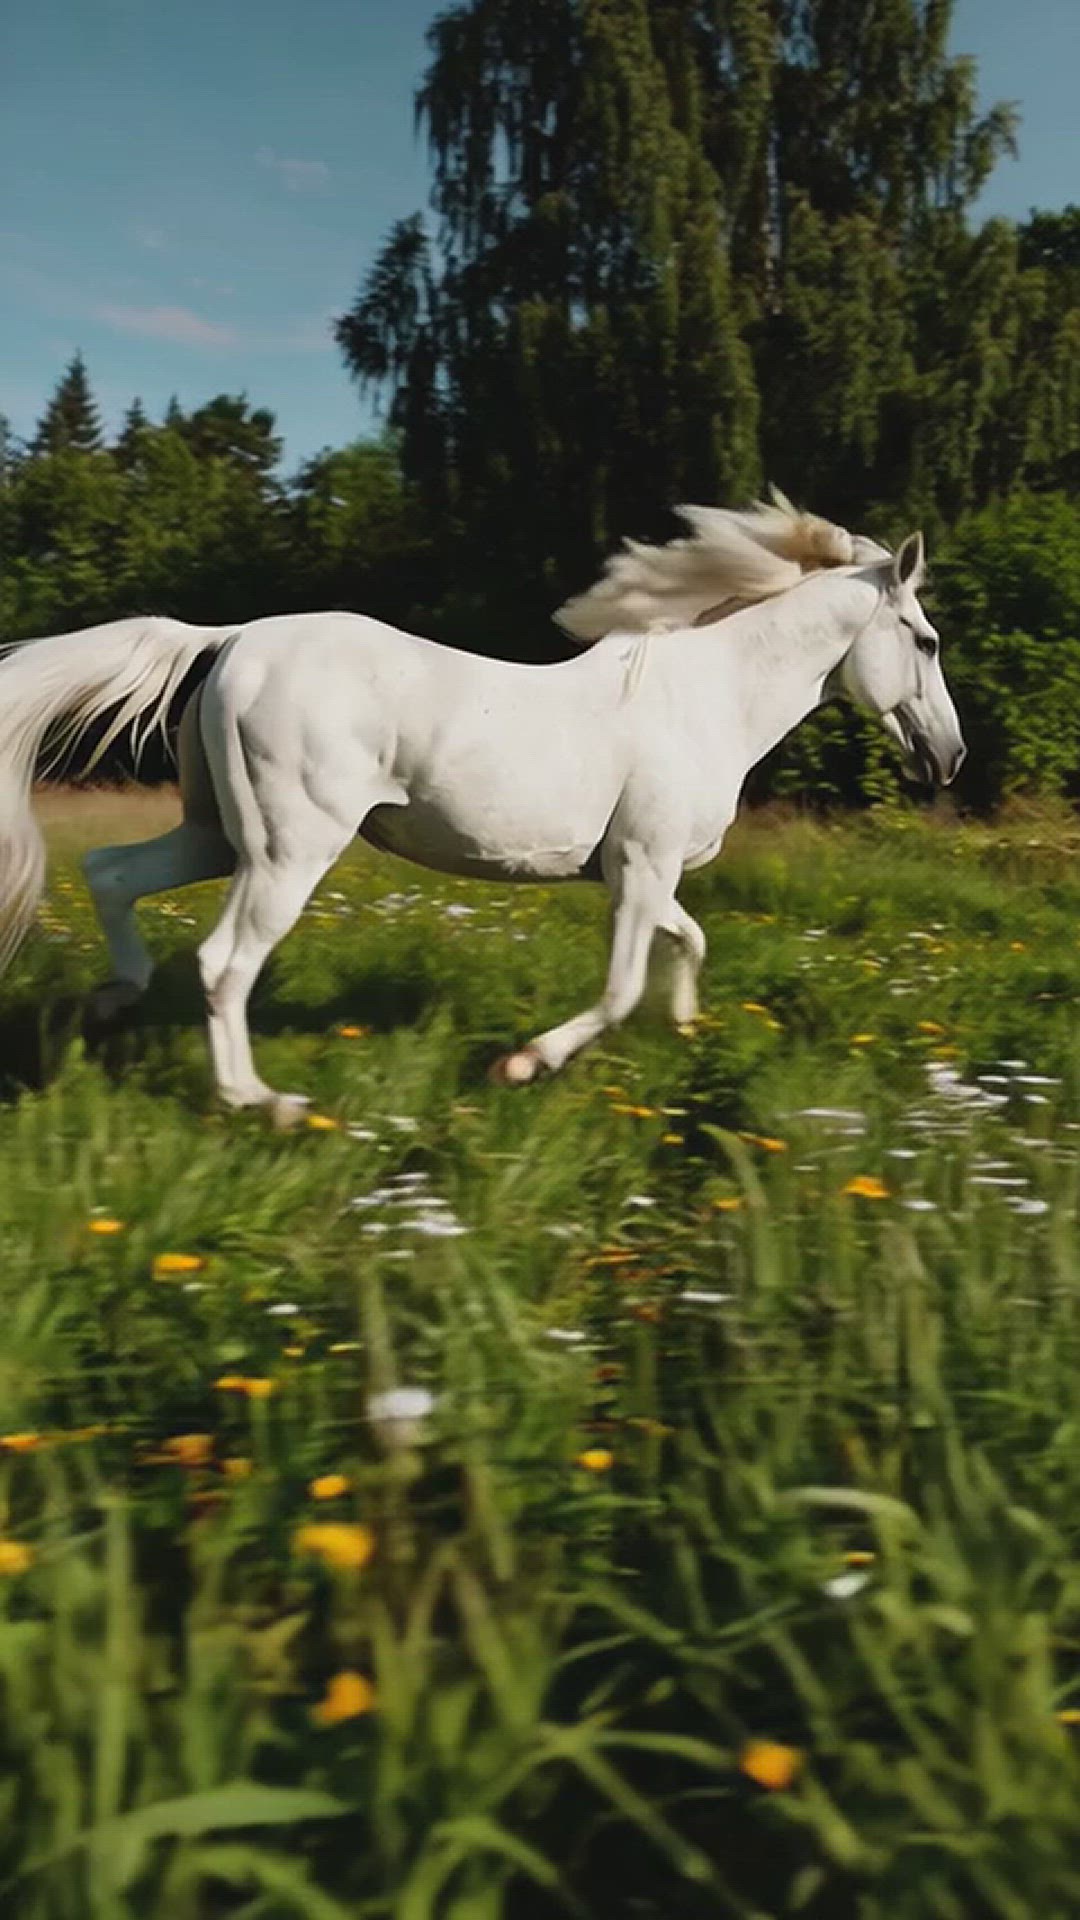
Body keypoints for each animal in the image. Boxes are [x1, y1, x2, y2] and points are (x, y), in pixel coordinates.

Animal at [0, 494, 965, 1125]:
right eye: (925, 641)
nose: (949, 758)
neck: (706, 703)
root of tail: (232, 639)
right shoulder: (642, 865)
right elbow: (621, 988)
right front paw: (522, 1064)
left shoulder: (643, 872)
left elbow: (689, 942)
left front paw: (689, 1027)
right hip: (287, 851)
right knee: (221, 963)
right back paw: (263, 1102)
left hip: (217, 835)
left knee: (112, 874)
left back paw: (114, 1002)